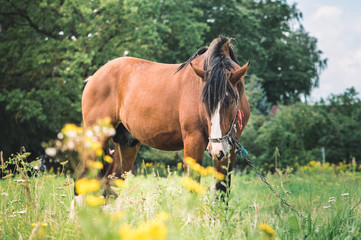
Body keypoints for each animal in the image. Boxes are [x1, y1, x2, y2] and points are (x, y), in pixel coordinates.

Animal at [79, 36, 249, 197]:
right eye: (203, 102)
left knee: (110, 185)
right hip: (95, 139)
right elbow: (191, 185)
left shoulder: (230, 149)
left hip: (126, 143)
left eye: (231, 101)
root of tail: (94, 77)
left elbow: (222, 190)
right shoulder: (194, 140)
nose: (216, 149)